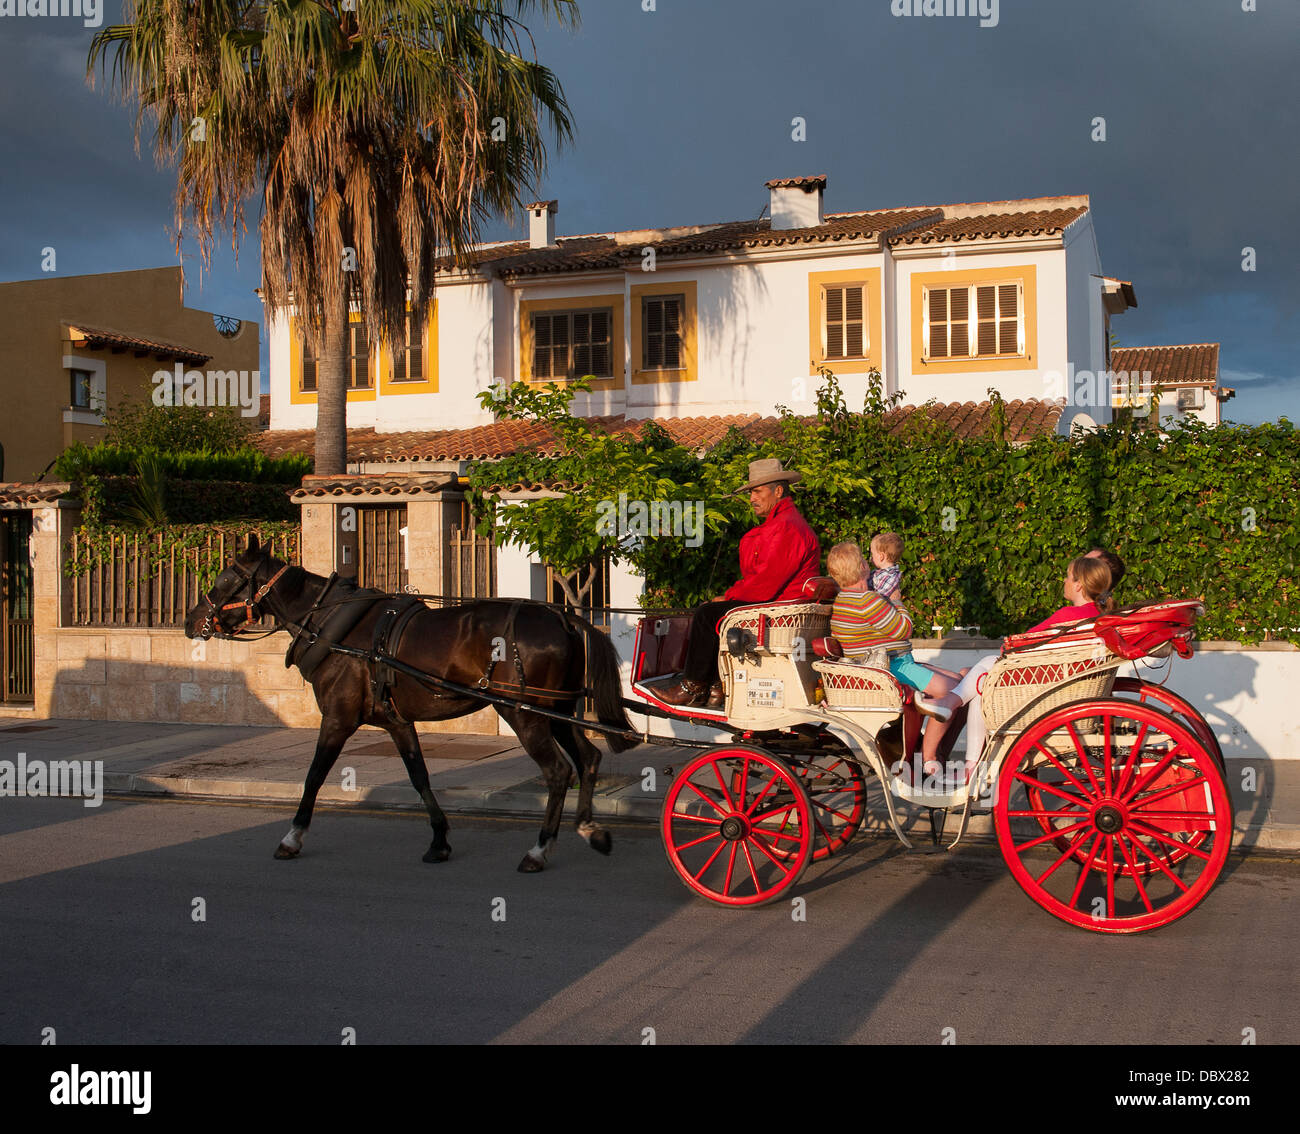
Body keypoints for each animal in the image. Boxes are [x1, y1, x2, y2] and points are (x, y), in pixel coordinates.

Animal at [185, 535, 642, 873]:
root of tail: (564, 616)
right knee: (587, 759)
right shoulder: (397, 722)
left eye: (224, 580)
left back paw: (539, 850)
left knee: (558, 771)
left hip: (522, 713)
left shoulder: (337, 719)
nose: (191, 621)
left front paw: (292, 837)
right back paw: (590, 830)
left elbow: (314, 776)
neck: (332, 628)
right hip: (557, 709)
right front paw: (439, 840)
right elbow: (419, 776)